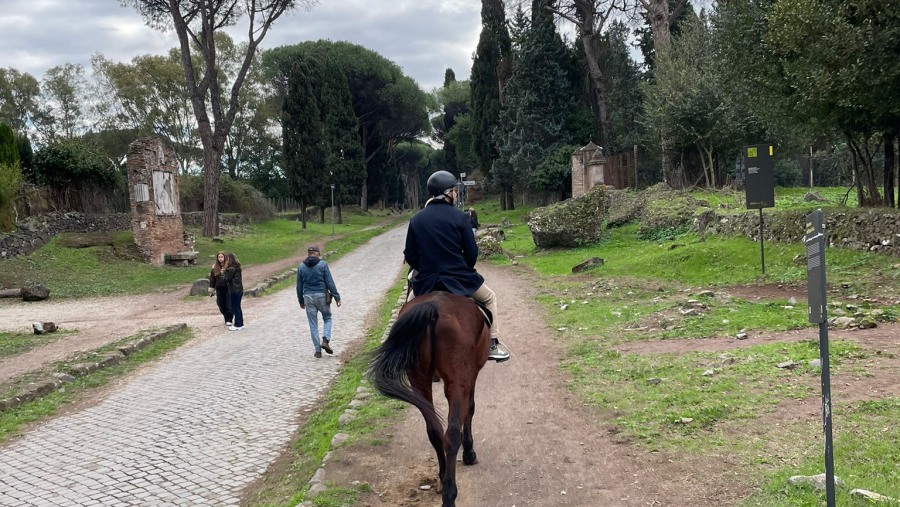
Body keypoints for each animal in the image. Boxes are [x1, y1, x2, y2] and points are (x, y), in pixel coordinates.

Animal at [368, 290, 488, 507]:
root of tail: (434, 307)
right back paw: (449, 495)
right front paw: (469, 452)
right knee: (452, 433)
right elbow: (471, 408)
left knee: (434, 430)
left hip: (419, 379)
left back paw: (442, 478)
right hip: (458, 379)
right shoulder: (472, 374)